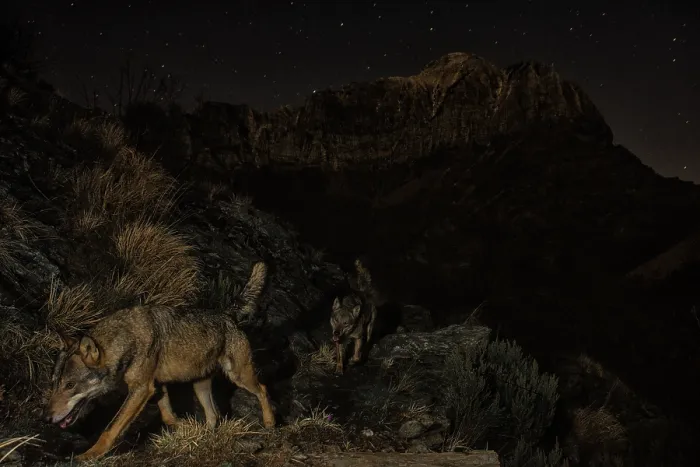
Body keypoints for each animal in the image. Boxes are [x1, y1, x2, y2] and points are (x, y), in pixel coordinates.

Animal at [44, 262, 275, 462]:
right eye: (54, 384)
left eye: (70, 385)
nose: (47, 419)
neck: (126, 339)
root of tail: (226, 314)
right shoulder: (157, 386)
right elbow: (167, 416)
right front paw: (184, 427)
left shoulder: (141, 389)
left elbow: (110, 428)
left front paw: (89, 455)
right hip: (199, 386)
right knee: (213, 415)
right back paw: (206, 437)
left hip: (239, 376)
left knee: (262, 389)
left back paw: (270, 423)